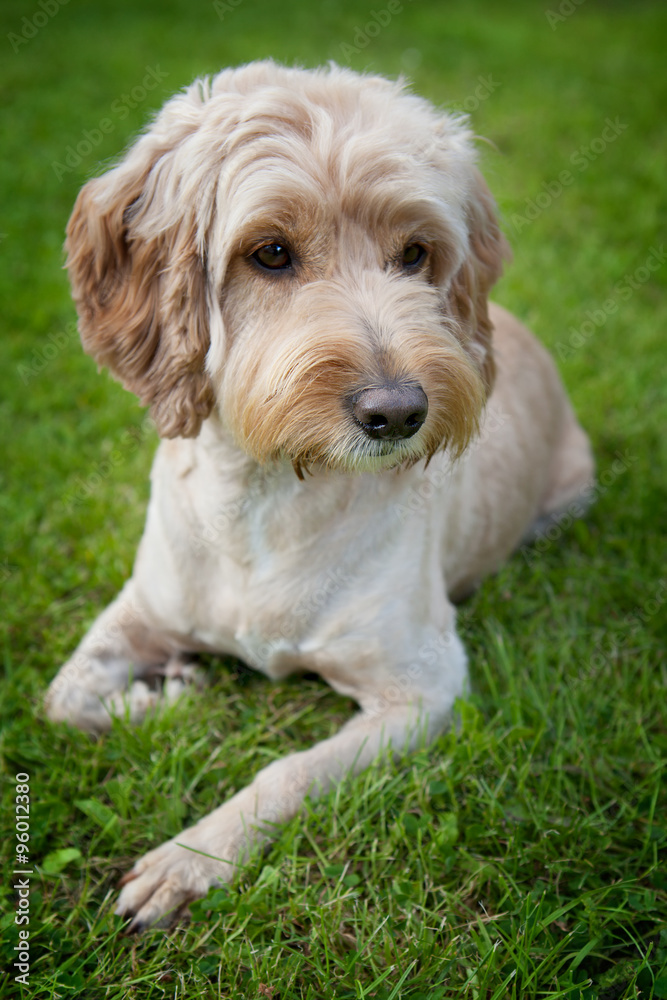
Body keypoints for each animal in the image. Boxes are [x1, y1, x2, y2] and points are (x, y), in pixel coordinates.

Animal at [45, 60, 596, 928]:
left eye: (415, 253)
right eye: (269, 252)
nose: (398, 413)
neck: (267, 502)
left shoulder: (423, 691)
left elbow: (288, 770)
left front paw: (192, 857)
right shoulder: (143, 606)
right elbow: (63, 699)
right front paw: (163, 699)